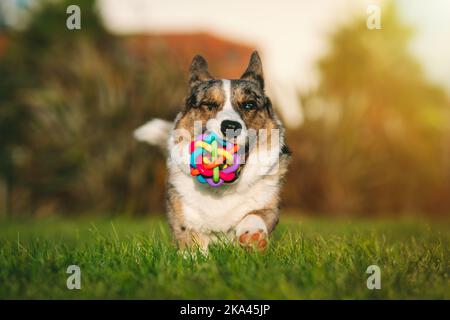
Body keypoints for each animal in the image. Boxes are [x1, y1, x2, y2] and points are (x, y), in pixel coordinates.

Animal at [134, 51, 290, 251]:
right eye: (209, 104)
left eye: (249, 105)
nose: (230, 127)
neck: (222, 189)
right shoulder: (183, 213)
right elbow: (191, 238)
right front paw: (195, 254)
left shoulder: (269, 203)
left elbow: (256, 214)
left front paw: (252, 235)